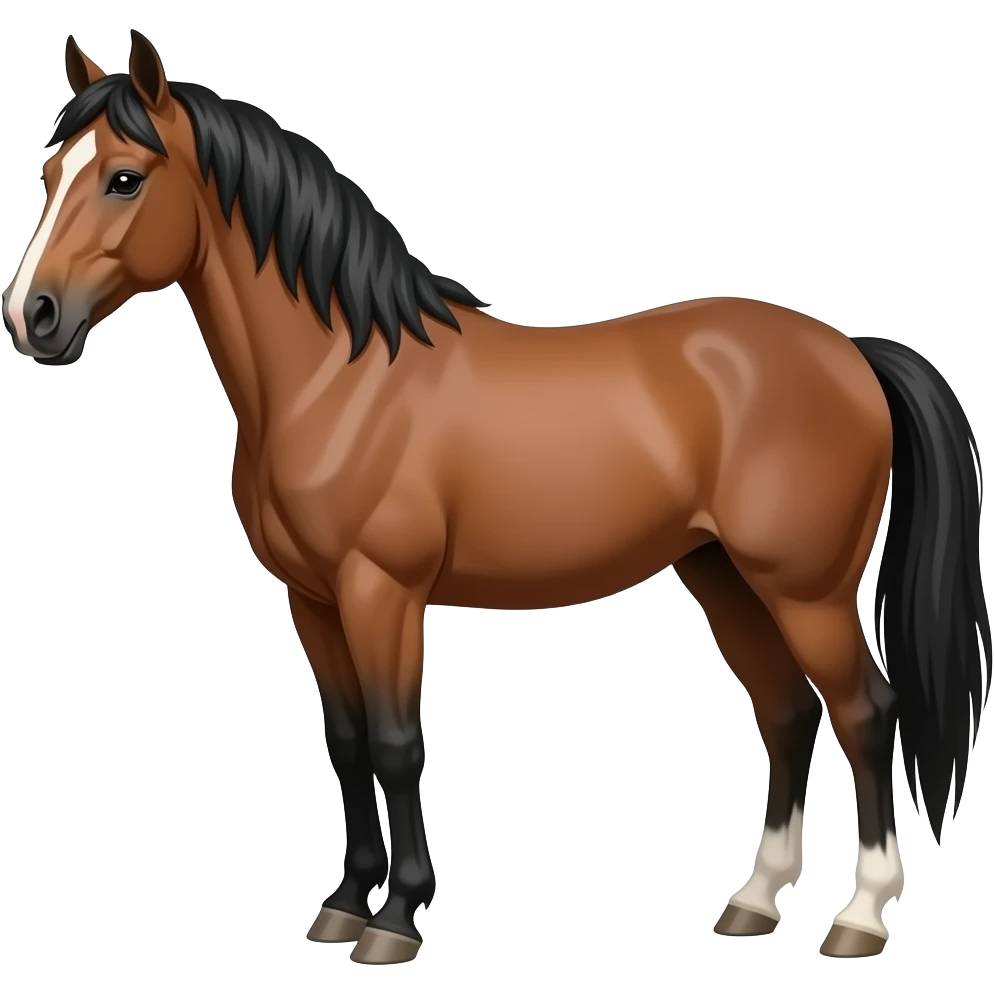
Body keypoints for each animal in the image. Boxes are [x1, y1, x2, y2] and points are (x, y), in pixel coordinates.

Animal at [2, 30, 989, 965]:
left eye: (125, 178)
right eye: (50, 175)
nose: (31, 317)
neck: (337, 378)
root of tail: (851, 351)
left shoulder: (382, 592)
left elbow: (397, 744)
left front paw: (396, 919)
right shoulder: (312, 598)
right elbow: (346, 741)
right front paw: (343, 904)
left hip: (805, 589)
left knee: (866, 715)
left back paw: (858, 917)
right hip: (725, 576)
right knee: (788, 713)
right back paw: (754, 902)